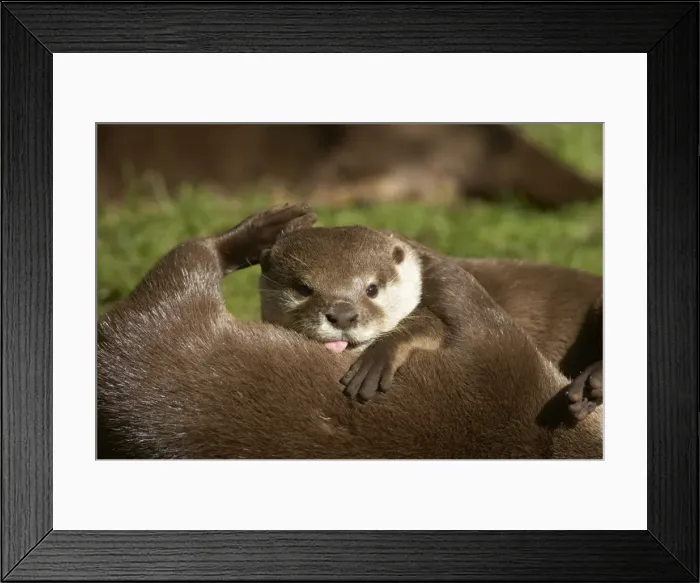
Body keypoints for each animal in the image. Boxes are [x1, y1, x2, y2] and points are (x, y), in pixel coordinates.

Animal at [97, 204, 602, 460]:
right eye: (303, 288)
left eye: (373, 288)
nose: (341, 313)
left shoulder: (496, 349)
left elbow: (435, 315)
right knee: (198, 252)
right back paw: (271, 226)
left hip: (170, 301)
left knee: (194, 253)